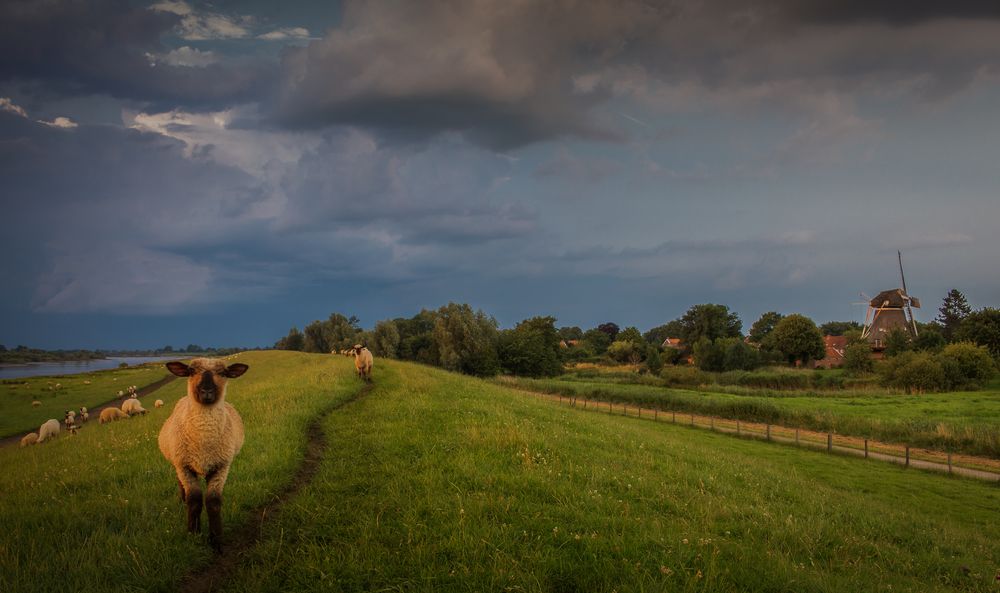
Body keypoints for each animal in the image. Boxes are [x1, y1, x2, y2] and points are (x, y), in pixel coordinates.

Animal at [159, 356, 249, 552]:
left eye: (223, 373)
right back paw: (182, 500)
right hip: (178, 464)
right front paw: (193, 534)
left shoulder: (221, 466)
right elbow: (194, 501)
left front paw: (216, 540)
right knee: (181, 485)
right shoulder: (184, 466)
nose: (206, 391)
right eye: (191, 371)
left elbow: (213, 502)